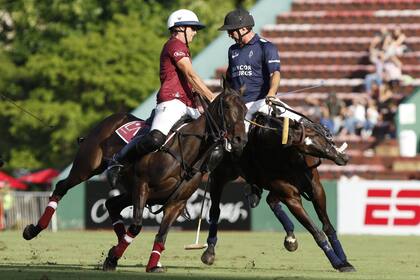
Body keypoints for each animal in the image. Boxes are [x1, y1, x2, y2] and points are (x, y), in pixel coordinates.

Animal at [23, 82, 248, 272]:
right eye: (226, 106)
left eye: (245, 110)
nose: (240, 140)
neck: (187, 151)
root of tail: (109, 119)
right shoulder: (142, 185)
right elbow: (137, 225)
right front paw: (113, 257)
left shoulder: (176, 202)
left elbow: (161, 235)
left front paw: (151, 264)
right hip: (86, 167)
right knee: (62, 187)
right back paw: (34, 229)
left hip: (131, 190)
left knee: (112, 204)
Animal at [200, 109, 354, 272]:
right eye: (306, 146)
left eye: (318, 135)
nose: (343, 158)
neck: (290, 158)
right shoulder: (291, 197)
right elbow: (317, 232)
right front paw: (337, 263)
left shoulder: (316, 189)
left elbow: (328, 227)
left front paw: (344, 261)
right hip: (220, 176)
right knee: (215, 211)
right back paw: (209, 251)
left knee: (271, 201)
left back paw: (290, 237)